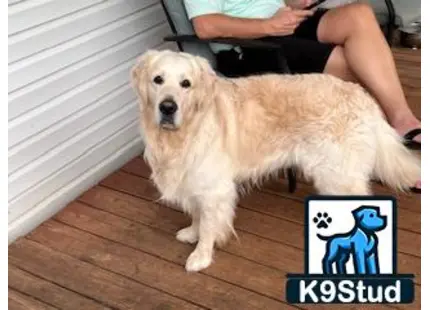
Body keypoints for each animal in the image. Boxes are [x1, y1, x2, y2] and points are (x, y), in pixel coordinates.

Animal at [131, 49, 420, 272]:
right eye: (158, 80)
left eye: (186, 84)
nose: (167, 108)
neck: (182, 134)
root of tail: (362, 95)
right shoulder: (193, 180)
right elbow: (197, 215)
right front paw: (192, 232)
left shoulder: (214, 188)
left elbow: (209, 225)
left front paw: (201, 255)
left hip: (337, 175)